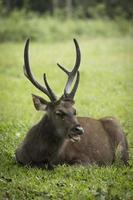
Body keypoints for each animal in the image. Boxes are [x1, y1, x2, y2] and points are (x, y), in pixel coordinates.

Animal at [15, 38, 128, 169]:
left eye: (75, 111)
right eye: (58, 112)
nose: (79, 129)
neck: (38, 157)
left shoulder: (86, 160)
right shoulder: (18, 156)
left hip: (121, 148)